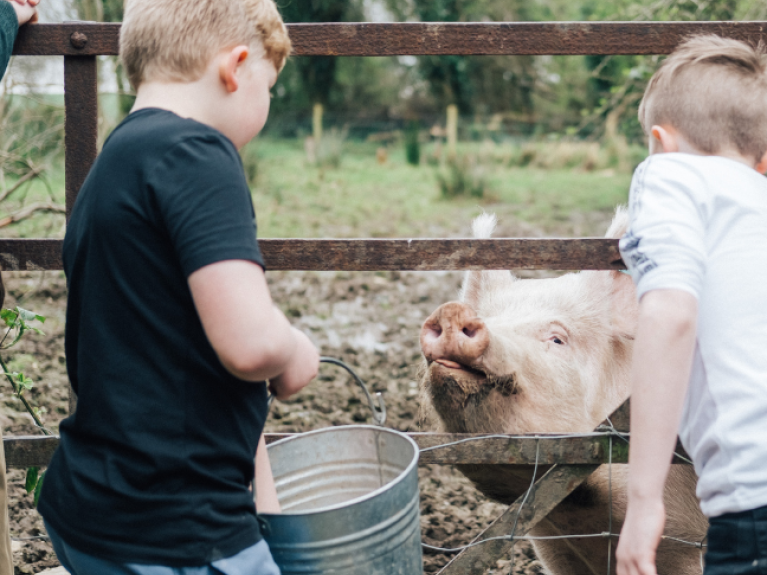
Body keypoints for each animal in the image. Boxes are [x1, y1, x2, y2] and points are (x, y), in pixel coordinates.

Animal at [420, 212, 708, 575]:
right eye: (490, 319)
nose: (452, 311)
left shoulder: (683, 541)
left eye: (558, 338)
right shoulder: (551, 543)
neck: (582, 513)